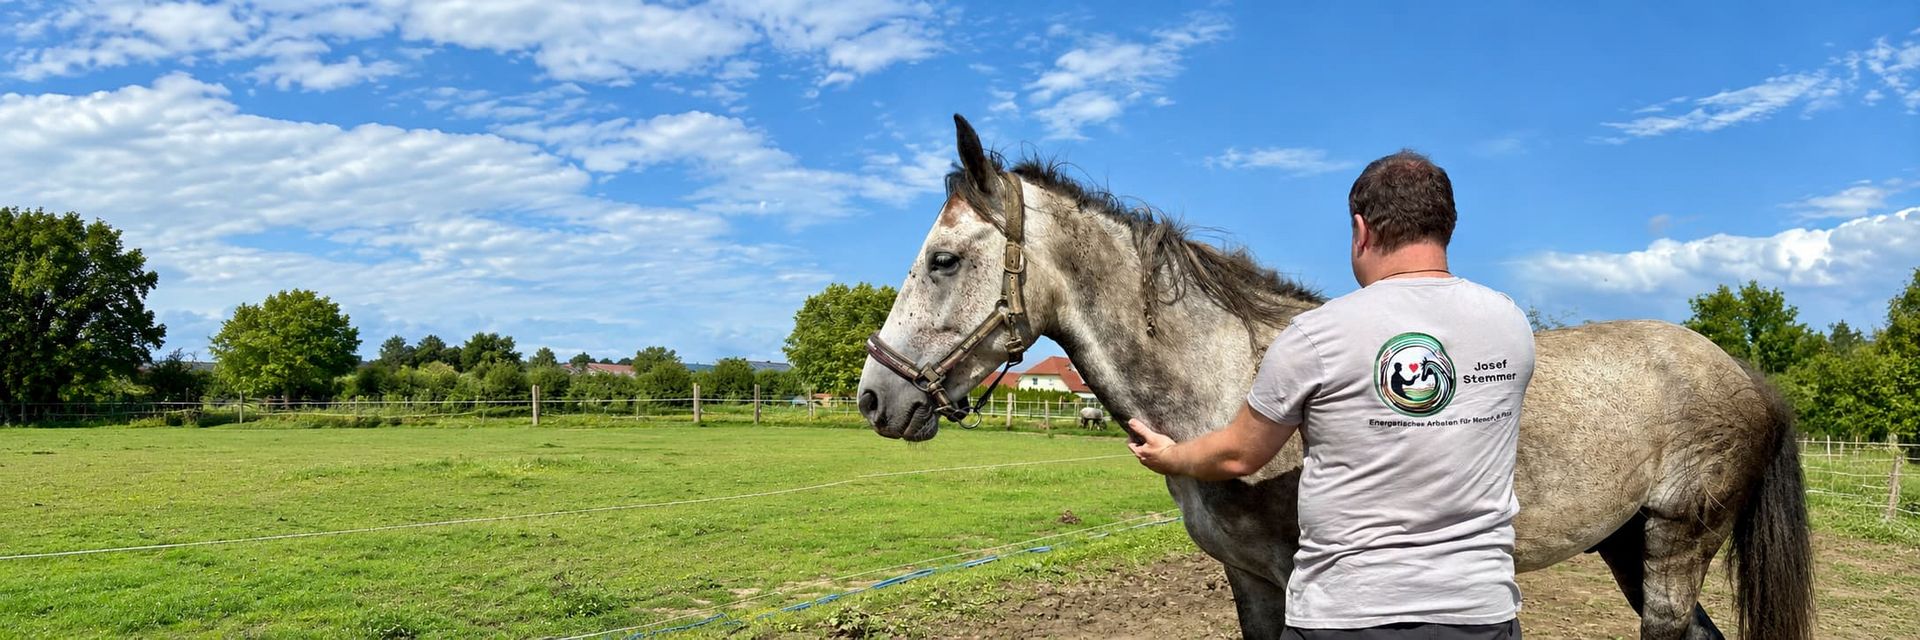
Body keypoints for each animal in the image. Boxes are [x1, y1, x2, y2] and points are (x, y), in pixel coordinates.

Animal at [856, 115, 1812, 640]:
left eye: (943, 260)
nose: (876, 395)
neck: (1225, 374)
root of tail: (1744, 374)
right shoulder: (1249, 581)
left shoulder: (1299, 580)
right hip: (1626, 543)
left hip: (1675, 546)